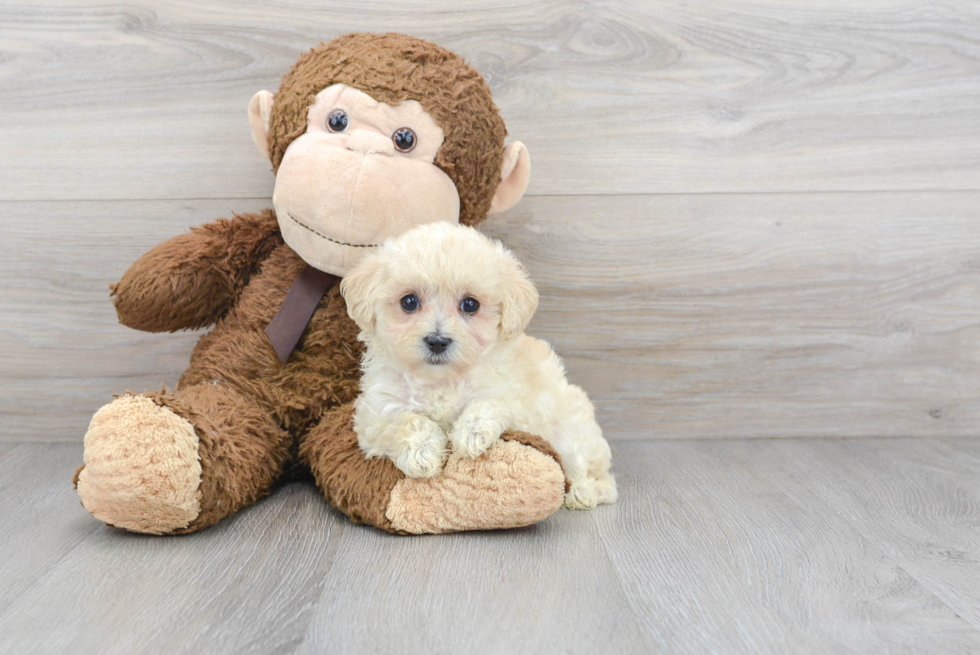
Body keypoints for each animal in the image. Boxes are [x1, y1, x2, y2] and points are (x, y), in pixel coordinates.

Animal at [344, 223, 616, 510]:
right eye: (409, 302)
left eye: (470, 304)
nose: (437, 341)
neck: (440, 380)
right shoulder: (375, 414)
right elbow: (404, 421)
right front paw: (423, 452)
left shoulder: (515, 397)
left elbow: (488, 403)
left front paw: (471, 433)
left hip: (571, 431)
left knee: (596, 475)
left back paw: (583, 492)